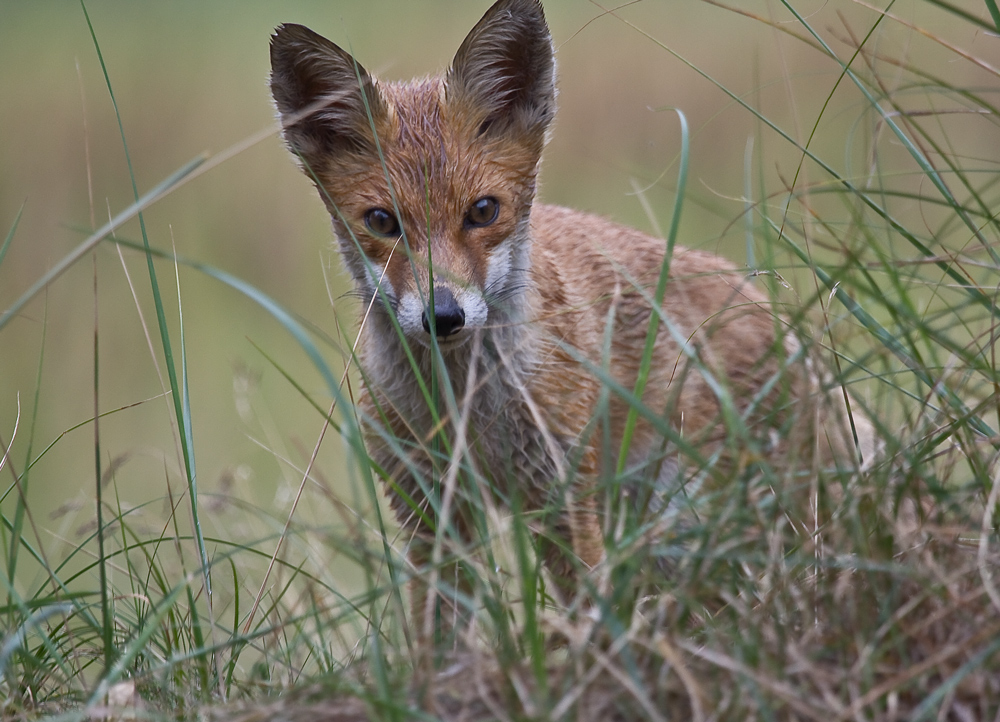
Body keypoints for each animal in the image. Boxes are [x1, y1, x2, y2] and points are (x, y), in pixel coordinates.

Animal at [270, 0, 872, 632]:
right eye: (382, 222)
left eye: (483, 211)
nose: (444, 316)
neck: (466, 412)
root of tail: (782, 322)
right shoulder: (431, 513)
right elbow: (439, 642)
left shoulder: (559, 495)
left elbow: (593, 622)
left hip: (685, 522)